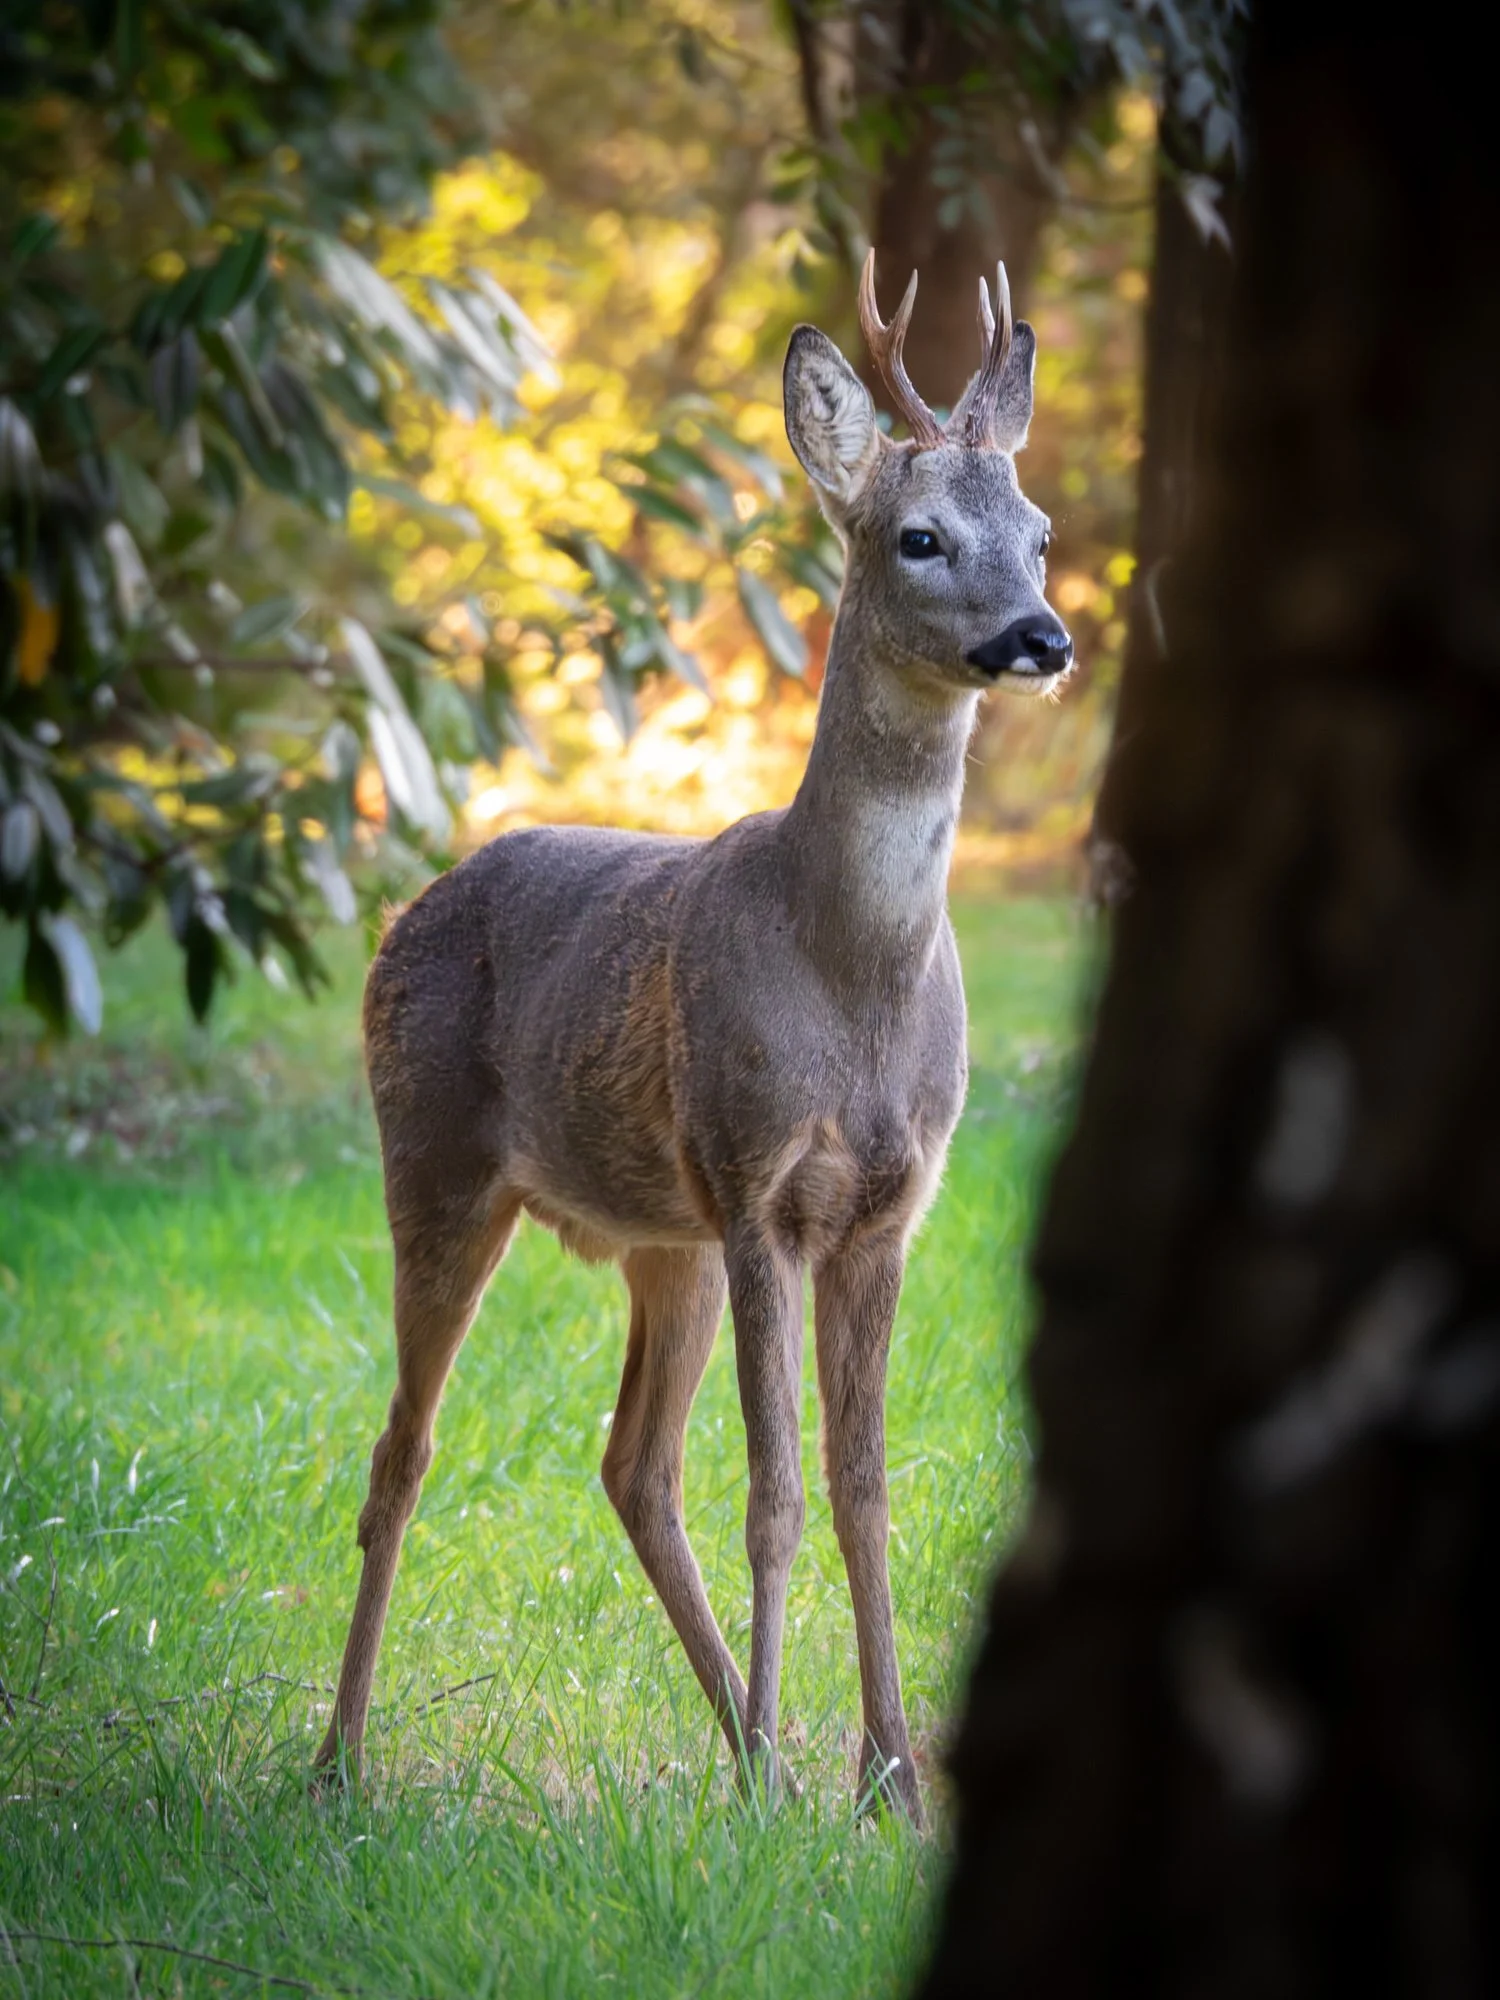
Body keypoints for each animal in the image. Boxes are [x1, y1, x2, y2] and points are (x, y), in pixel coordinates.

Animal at [314, 253, 1073, 1823]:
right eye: (918, 536)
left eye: (1039, 532)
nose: (1044, 636)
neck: (850, 977)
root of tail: (411, 904)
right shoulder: (755, 1178)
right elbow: (775, 1492)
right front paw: (814, 1773)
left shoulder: (888, 1207)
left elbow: (863, 1486)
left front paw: (889, 1780)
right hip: (438, 1160)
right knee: (405, 1449)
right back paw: (340, 1760)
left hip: (661, 1239)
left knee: (634, 1465)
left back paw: (749, 1744)